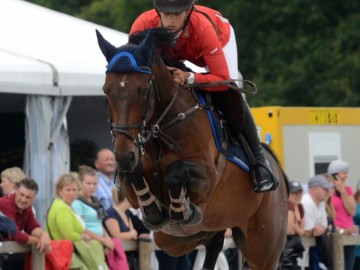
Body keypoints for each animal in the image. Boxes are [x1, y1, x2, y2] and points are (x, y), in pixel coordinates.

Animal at [96, 28, 290, 268]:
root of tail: (279, 173)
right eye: (106, 91)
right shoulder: (130, 187)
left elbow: (176, 172)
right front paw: (154, 211)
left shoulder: (207, 177)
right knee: (214, 242)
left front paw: (182, 209)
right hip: (175, 239)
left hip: (263, 249)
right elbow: (135, 175)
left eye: (142, 91)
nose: (123, 156)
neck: (160, 129)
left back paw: (263, 177)